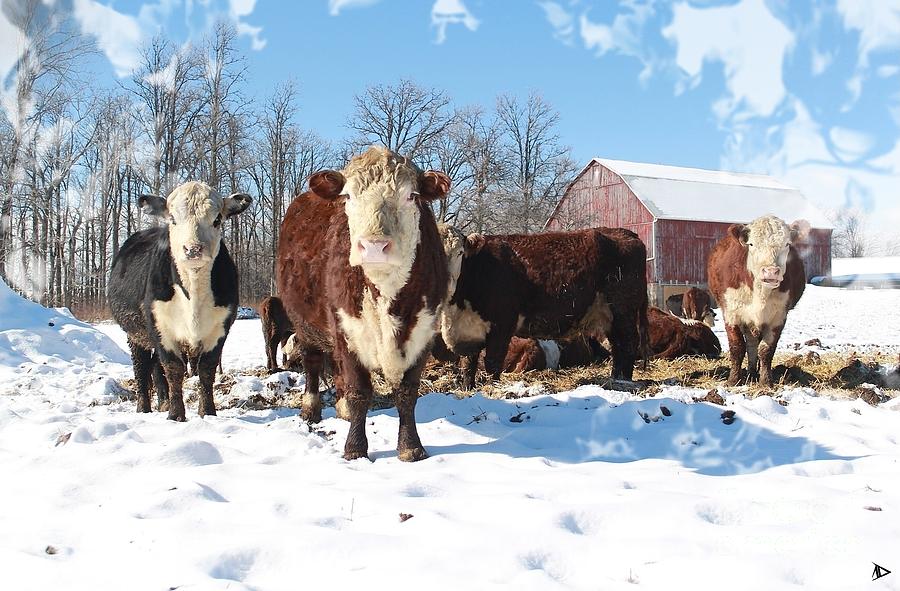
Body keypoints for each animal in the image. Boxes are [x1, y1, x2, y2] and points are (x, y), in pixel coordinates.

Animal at [109, 183, 251, 418]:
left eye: (217, 219)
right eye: (173, 218)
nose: (193, 249)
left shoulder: (220, 327)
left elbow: (206, 369)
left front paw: (207, 412)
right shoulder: (161, 327)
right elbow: (173, 368)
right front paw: (176, 415)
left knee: (155, 367)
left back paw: (163, 402)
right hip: (135, 334)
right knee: (141, 368)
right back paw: (144, 408)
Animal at [274, 148, 450, 462]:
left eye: (411, 195)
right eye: (348, 196)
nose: (374, 246)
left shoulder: (424, 331)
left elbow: (408, 393)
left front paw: (411, 447)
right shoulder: (347, 329)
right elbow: (359, 391)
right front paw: (355, 448)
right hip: (305, 325)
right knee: (313, 364)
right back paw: (311, 409)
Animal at [438, 227, 648, 388]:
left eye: (459, 253)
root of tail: (625, 232)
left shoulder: (502, 325)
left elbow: (492, 363)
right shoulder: (470, 332)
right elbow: (468, 365)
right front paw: (467, 389)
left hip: (623, 310)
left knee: (628, 344)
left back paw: (623, 381)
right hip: (609, 316)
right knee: (618, 346)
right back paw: (615, 378)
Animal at [712, 215, 808, 386]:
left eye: (787, 244)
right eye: (751, 244)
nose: (771, 271)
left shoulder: (778, 317)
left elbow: (766, 349)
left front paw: (766, 381)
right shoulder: (731, 313)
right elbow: (737, 347)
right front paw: (733, 380)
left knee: (754, 345)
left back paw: (753, 373)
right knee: (750, 345)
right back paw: (750, 374)